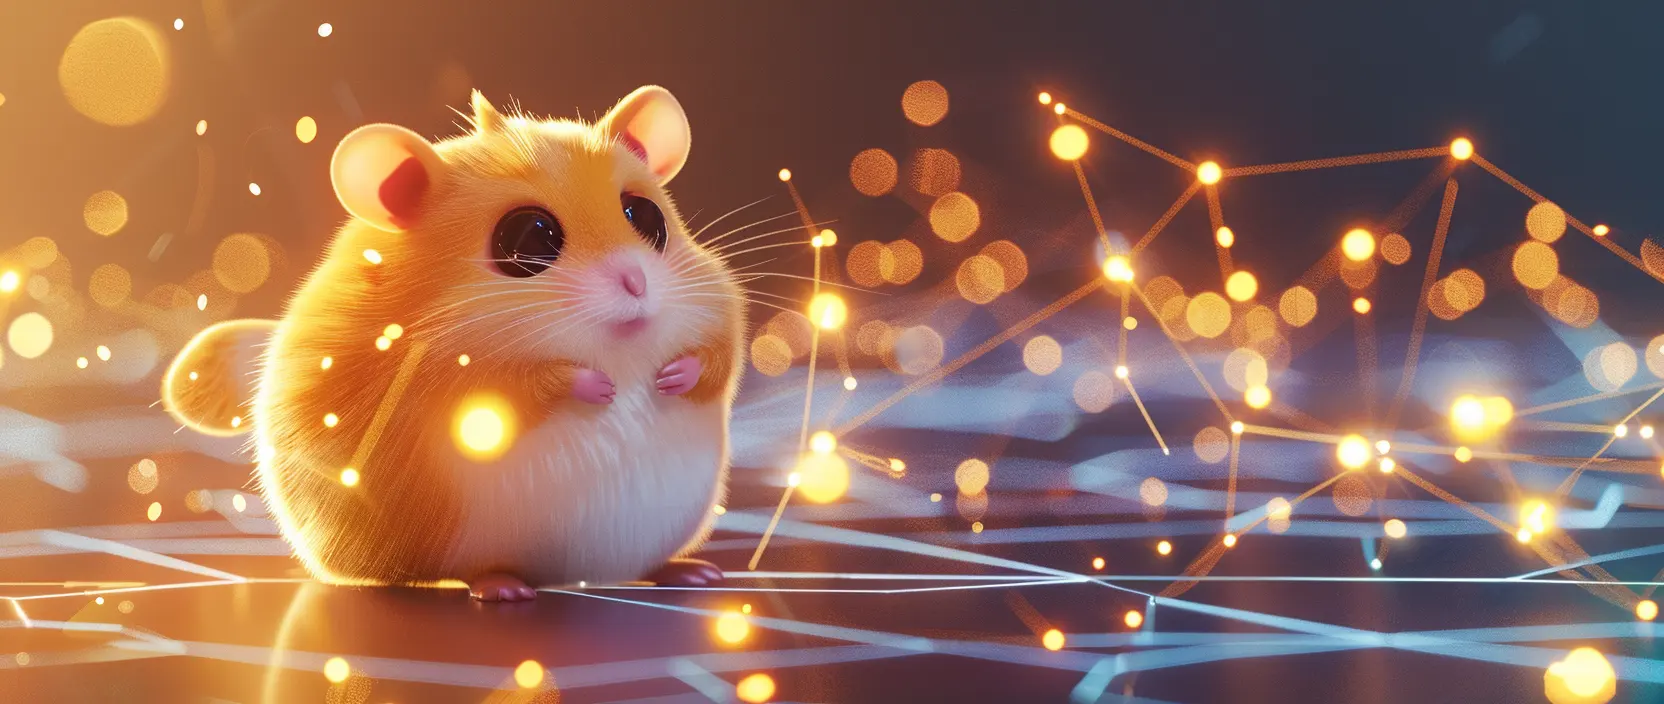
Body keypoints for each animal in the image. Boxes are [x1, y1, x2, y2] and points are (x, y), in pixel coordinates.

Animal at [161, 86, 746, 601]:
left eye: (647, 217)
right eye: (529, 237)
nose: (637, 283)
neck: (618, 349)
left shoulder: (717, 298)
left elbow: (719, 354)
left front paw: (675, 375)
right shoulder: (436, 372)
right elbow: (509, 387)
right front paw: (593, 387)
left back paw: (690, 571)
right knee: (474, 571)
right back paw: (502, 587)